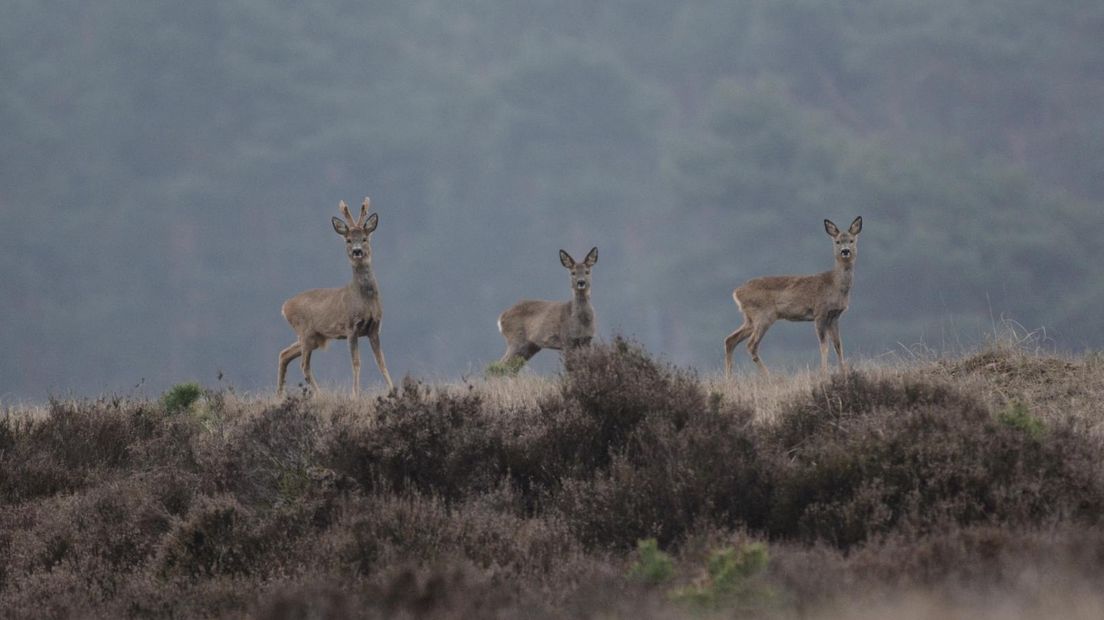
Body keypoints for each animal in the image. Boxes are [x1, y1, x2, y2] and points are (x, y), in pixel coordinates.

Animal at [278, 195, 395, 392]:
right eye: (348, 240)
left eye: (365, 238)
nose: (357, 251)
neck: (364, 300)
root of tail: (284, 307)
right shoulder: (350, 327)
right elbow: (356, 363)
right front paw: (355, 395)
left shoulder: (374, 328)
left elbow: (382, 363)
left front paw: (394, 390)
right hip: (305, 331)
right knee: (304, 365)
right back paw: (320, 395)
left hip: (314, 337)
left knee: (284, 354)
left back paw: (280, 394)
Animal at [724, 215, 861, 375]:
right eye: (837, 241)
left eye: (851, 240)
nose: (845, 251)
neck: (834, 284)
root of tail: (737, 292)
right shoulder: (820, 312)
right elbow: (824, 344)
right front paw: (824, 372)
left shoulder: (834, 316)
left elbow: (838, 345)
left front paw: (843, 372)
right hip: (763, 314)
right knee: (751, 344)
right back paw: (769, 376)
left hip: (750, 318)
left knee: (730, 339)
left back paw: (729, 377)